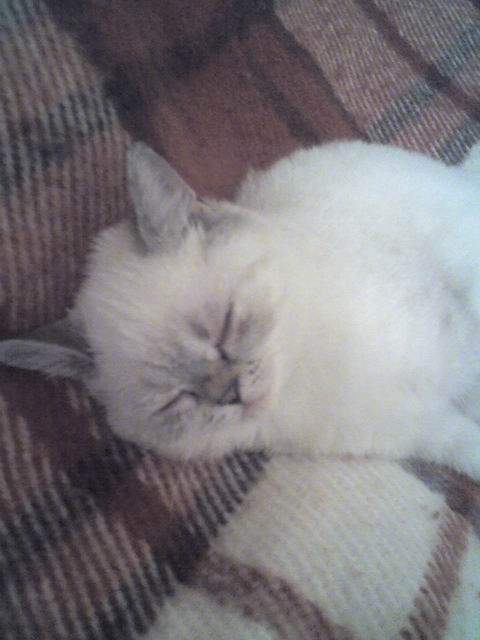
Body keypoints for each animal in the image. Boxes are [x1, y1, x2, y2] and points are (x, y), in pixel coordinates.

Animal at [1, 140, 480, 479]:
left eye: (225, 330)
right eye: (177, 399)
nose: (230, 394)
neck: (303, 376)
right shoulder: (420, 428)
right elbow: (467, 448)